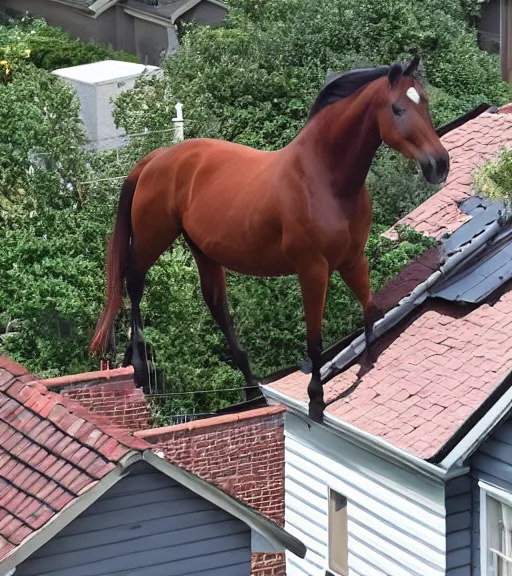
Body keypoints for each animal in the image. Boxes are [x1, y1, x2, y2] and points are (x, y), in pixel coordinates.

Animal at [91, 55, 448, 424]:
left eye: (424, 102)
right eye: (397, 108)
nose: (439, 164)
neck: (324, 179)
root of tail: (157, 158)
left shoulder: (352, 259)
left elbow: (371, 310)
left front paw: (366, 361)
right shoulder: (313, 270)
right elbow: (315, 339)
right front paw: (316, 398)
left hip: (203, 251)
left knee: (216, 306)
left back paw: (252, 388)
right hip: (153, 238)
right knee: (134, 285)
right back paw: (138, 368)